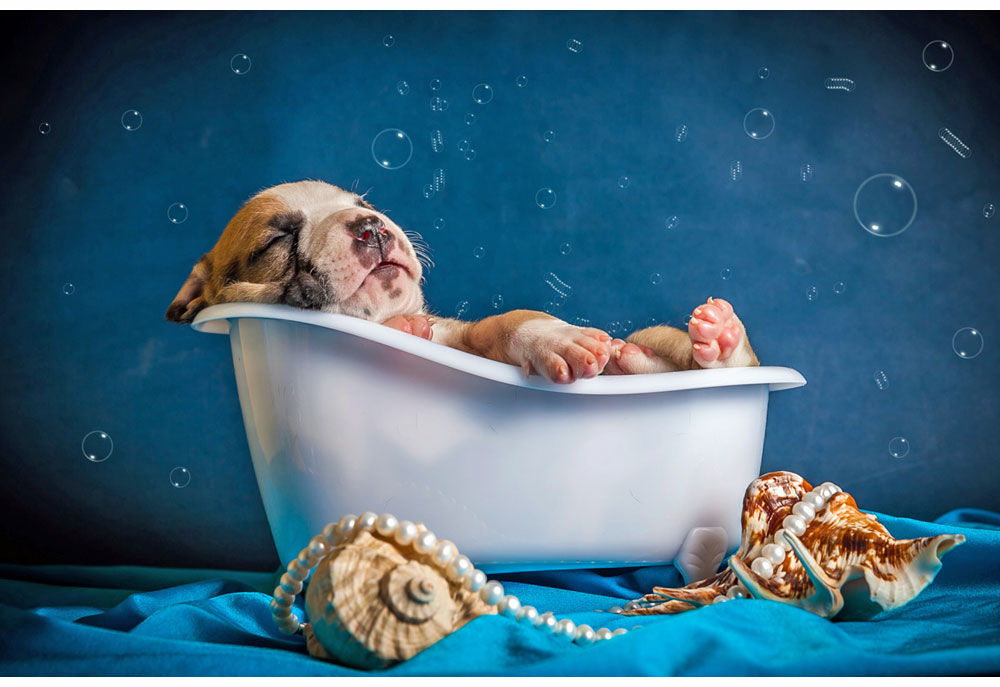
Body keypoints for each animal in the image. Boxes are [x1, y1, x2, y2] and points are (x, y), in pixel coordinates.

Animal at [166, 183, 756, 382]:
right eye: (276, 241)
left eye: (362, 201)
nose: (370, 225)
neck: (393, 321)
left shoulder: (462, 335)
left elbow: (510, 321)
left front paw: (556, 337)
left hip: (659, 337)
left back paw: (719, 336)